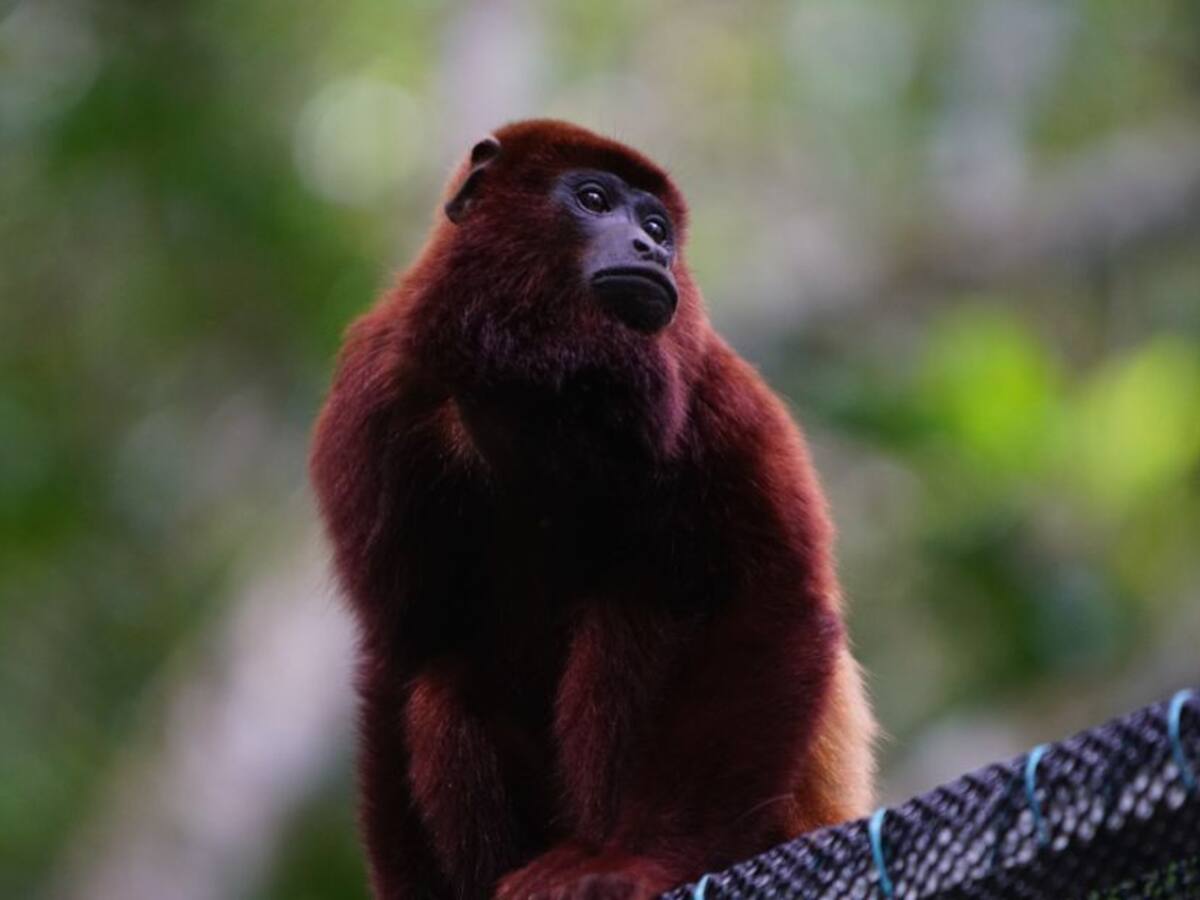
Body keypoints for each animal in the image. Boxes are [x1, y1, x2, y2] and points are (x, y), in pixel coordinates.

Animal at [310, 119, 876, 900]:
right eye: (594, 199)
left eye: (659, 226)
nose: (651, 249)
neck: (529, 384)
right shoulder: (378, 396)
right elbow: (403, 644)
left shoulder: (715, 393)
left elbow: (772, 600)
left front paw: (639, 864)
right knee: (444, 680)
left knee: (639, 609)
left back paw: (593, 855)